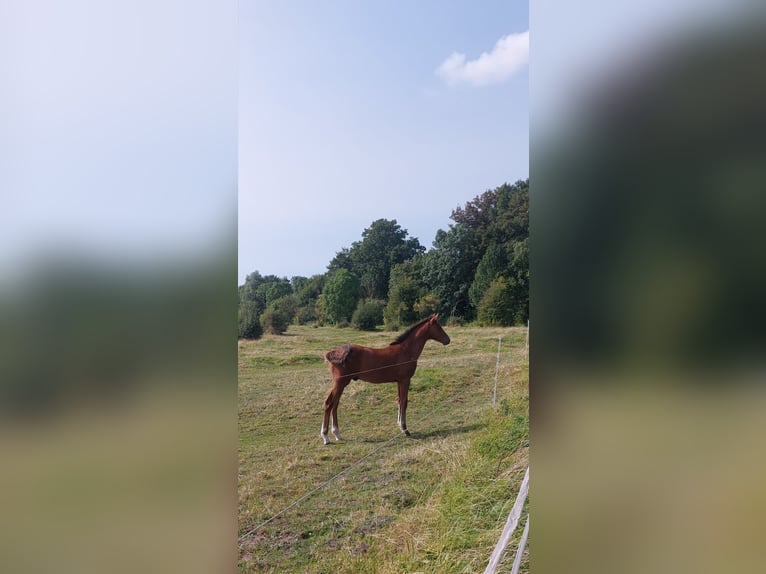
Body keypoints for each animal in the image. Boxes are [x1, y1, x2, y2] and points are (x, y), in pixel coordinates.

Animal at [320, 316, 452, 446]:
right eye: (438, 326)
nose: (448, 340)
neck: (406, 350)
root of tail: (333, 353)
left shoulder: (399, 381)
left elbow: (399, 401)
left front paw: (400, 426)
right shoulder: (405, 380)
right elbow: (404, 402)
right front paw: (405, 429)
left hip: (342, 384)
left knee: (335, 404)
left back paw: (337, 434)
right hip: (340, 383)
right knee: (329, 403)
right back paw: (325, 437)